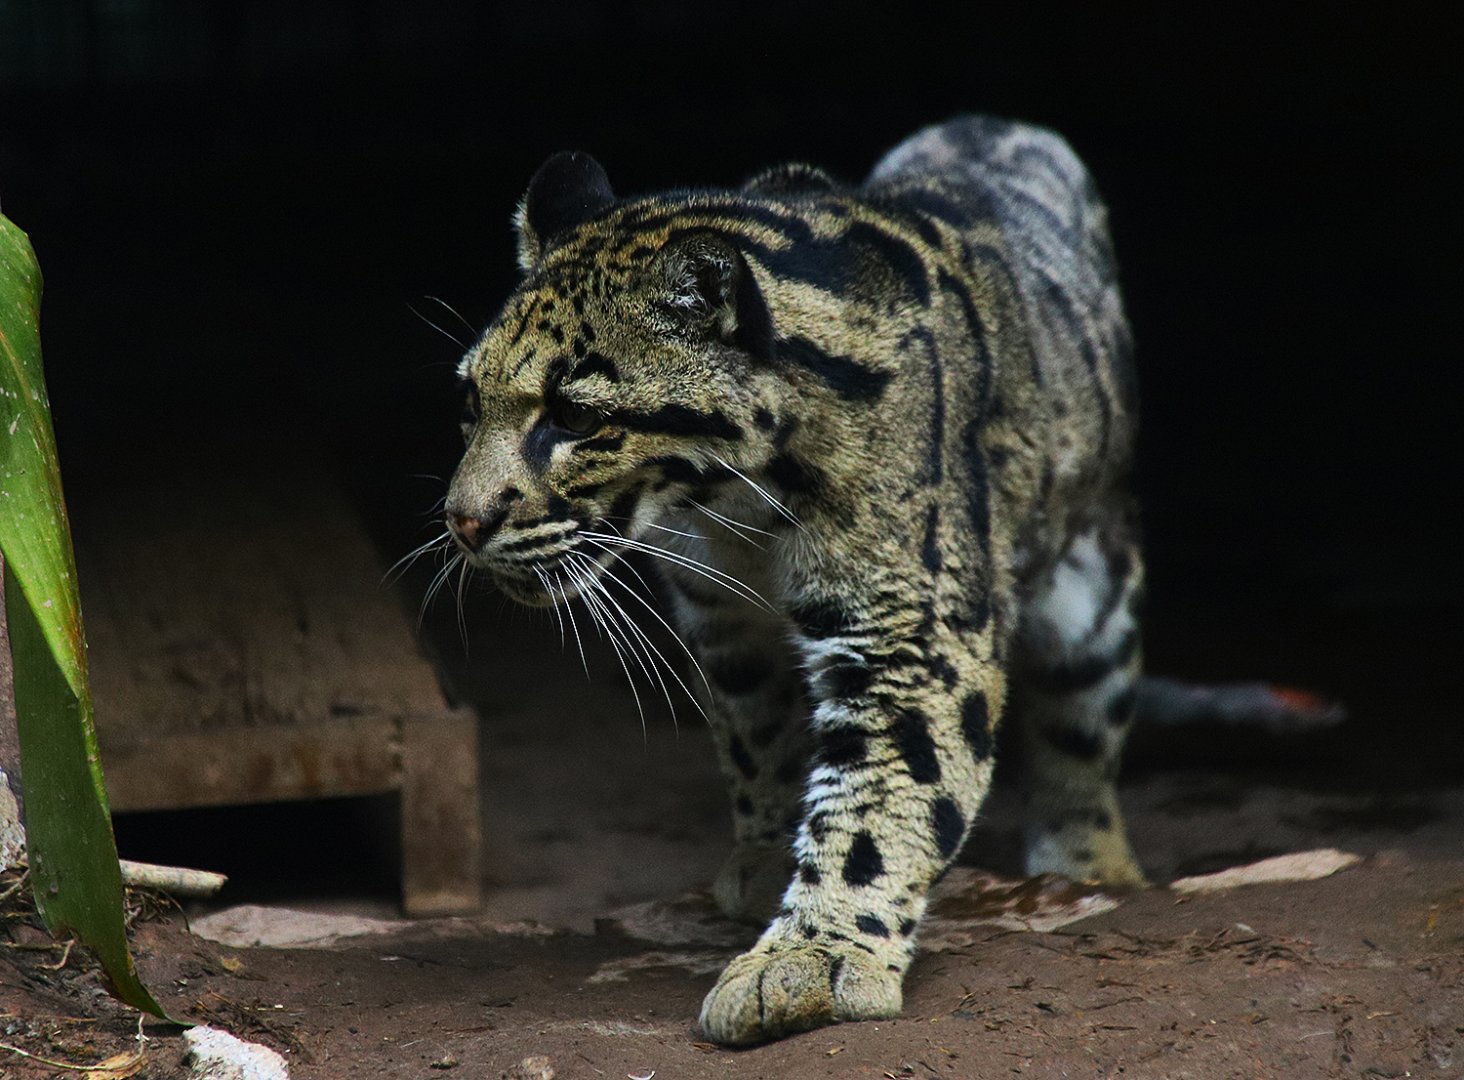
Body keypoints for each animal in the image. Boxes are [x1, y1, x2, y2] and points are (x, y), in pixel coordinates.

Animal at [442, 114, 1158, 1045]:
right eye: (470, 402)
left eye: (574, 416)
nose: (461, 521)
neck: (733, 504)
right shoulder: (720, 614)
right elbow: (758, 732)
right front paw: (768, 854)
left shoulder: (911, 627)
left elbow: (889, 787)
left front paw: (812, 957)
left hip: (1093, 592)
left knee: (1084, 725)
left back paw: (1090, 863)